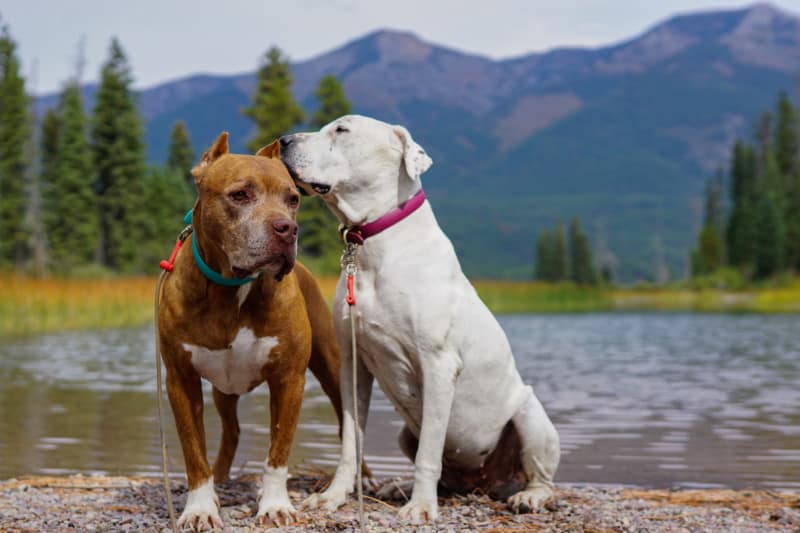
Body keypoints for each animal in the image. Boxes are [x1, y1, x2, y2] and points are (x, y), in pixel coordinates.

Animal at [157, 132, 344, 528]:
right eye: (240, 194)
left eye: (292, 199)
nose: (288, 229)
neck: (232, 289)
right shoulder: (180, 379)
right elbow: (194, 450)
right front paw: (200, 508)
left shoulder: (289, 380)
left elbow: (278, 451)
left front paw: (275, 505)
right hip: (222, 392)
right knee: (231, 431)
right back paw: (220, 481)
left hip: (332, 367)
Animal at [282, 116, 564, 520]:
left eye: (342, 130)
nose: (283, 141)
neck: (375, 246)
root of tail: (483, 483)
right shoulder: (353, 364)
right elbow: (351, 440)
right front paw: (333, 496)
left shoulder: (438, 364)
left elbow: (429, 450)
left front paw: (421, 507)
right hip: (405, 432)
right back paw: (398, 486)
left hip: (530, 416)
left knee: (540, 474)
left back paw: (529, 496)